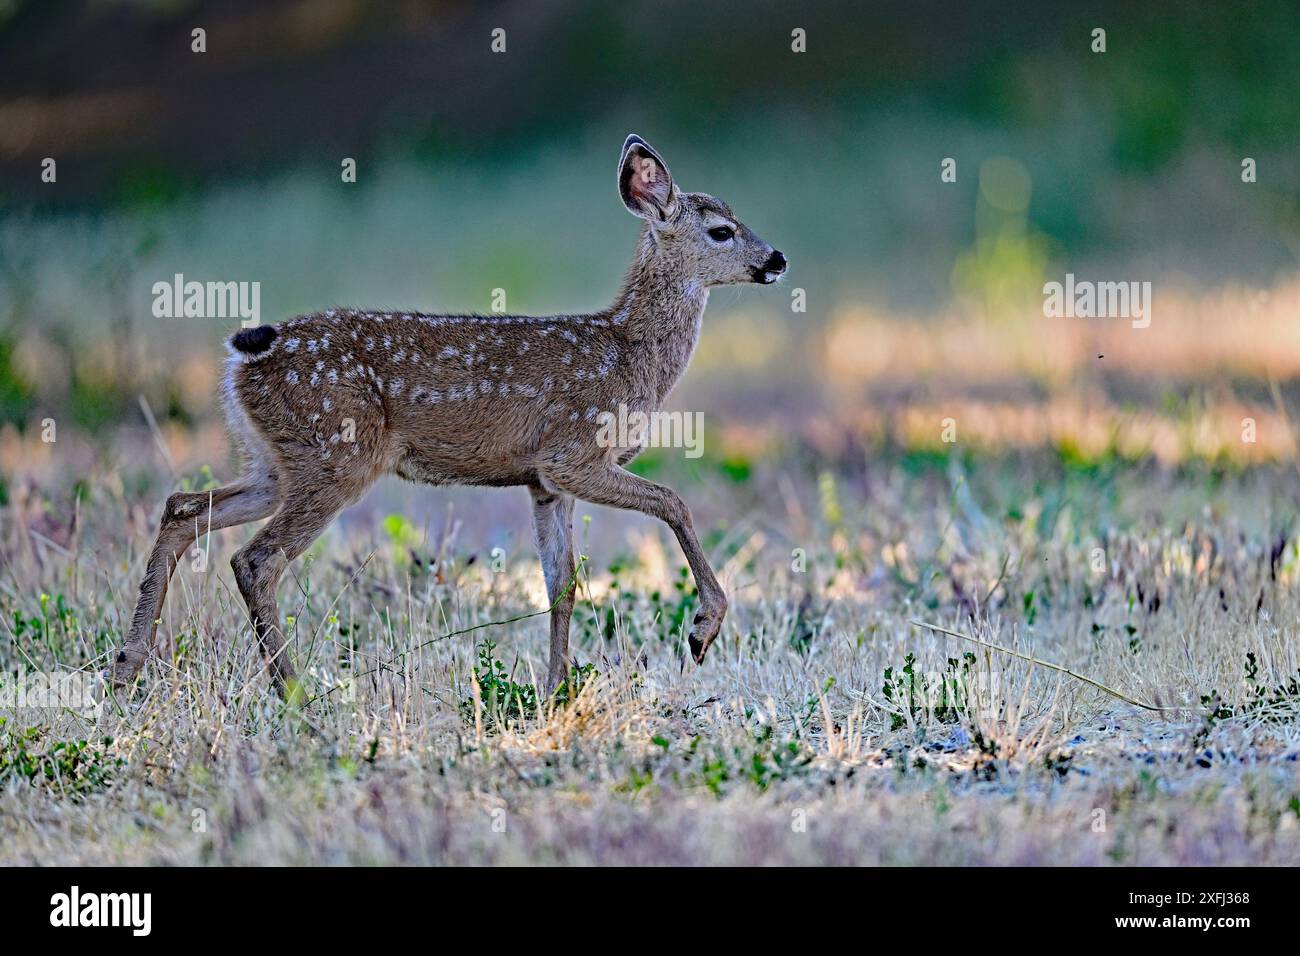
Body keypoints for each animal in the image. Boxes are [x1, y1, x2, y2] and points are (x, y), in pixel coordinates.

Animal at [109, 134, 787, 696]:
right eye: (722, 230)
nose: (777, 258)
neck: (630, 353)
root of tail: (244, 353)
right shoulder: (573, 454)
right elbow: (675, 502)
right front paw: (702, 629)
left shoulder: (544, 483)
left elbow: (561, 585)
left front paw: (555, 692)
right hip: (336, 455)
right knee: (255, 560)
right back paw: (293, 694)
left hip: (278, 461)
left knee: (183, 508)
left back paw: (126, 669)